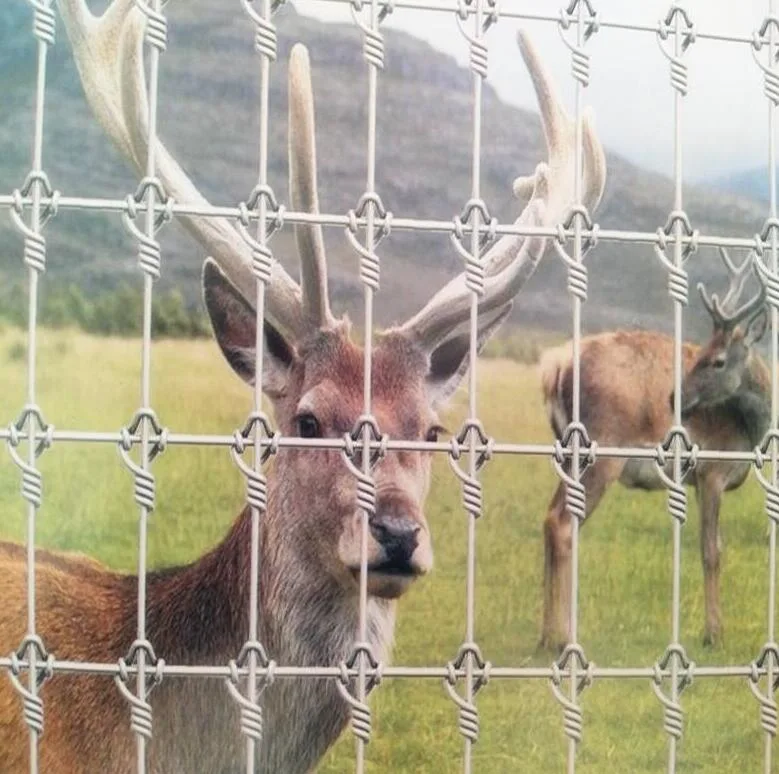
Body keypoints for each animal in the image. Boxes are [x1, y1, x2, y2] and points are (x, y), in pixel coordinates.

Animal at [540, 250, 772, 656]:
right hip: (602, 451)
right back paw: (565, 636)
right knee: (563, 525)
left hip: (569, 455)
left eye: (717, 360)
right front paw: (714, 634)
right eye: (702, 354)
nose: (675, 398)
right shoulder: (712, 471)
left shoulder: (698, 482)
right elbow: (712, 551)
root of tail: (555, 369)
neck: (748, 432)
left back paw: (545, 635)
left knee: (549, 519)